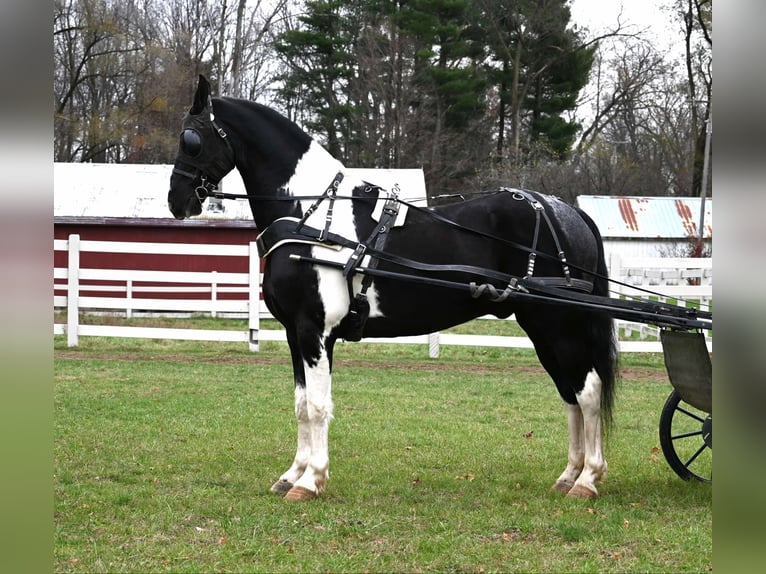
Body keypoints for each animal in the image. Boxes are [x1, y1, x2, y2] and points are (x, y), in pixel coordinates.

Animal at [167, 75, 619, 501]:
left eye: (191, 139)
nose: (177, 200)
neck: (311, 217)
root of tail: (565, 212)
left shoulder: (315, 331)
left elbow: (317, 406)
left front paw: (311, 481)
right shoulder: (296, 334)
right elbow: (301, 405)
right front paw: (292, 474)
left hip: (557, 325)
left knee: (588, 390)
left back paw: (588, 479)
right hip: (542, 329)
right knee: (569, 393)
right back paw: (569, 475)